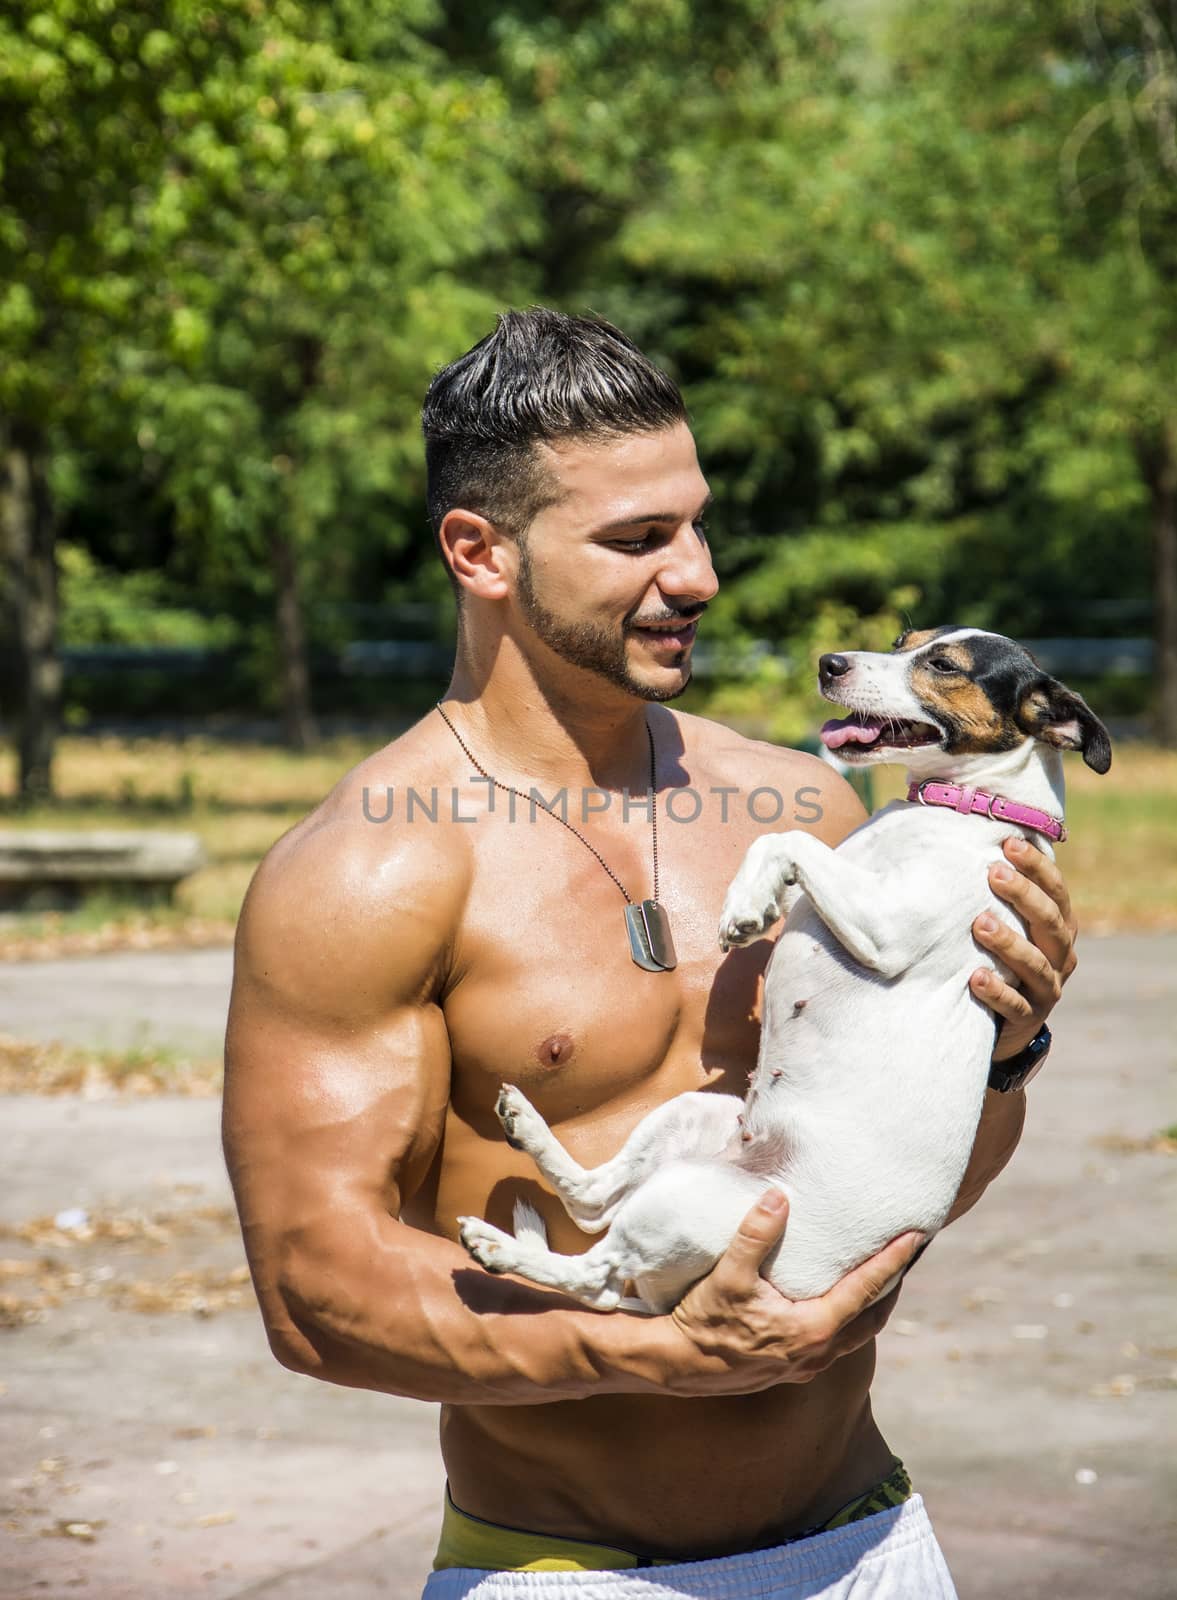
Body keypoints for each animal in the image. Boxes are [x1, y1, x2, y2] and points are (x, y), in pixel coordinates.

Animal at [460, 624, 1113, 1312]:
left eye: (942, 664)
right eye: (901, 639)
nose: (829, 663)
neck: (964, 808)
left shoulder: (891, 929)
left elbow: (788, 838)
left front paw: (747, 907)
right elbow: (779, 843)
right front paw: (752, 901)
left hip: (682, 1206)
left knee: (597, 1272)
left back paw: (497, 1248)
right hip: (693, 1115)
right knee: (591, 1201)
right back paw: (524, 1127)